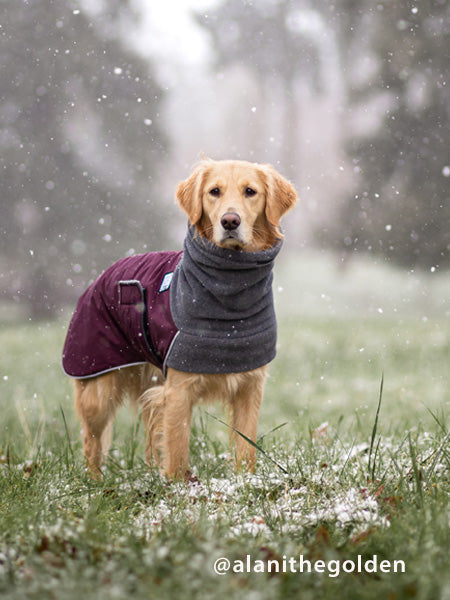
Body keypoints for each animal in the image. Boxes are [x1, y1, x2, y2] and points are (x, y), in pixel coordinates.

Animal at [63, 158, 296, 478]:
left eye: (250, 191)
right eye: (214, 191)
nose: (230, 221)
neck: (229, 293)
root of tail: (102, 274)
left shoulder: (250, 387)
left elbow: (245, 446)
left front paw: (245, 480)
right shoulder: (178, 390)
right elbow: (176, 447)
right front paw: (176, 485)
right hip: (96, 386)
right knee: (92, 440)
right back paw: (94, 481)